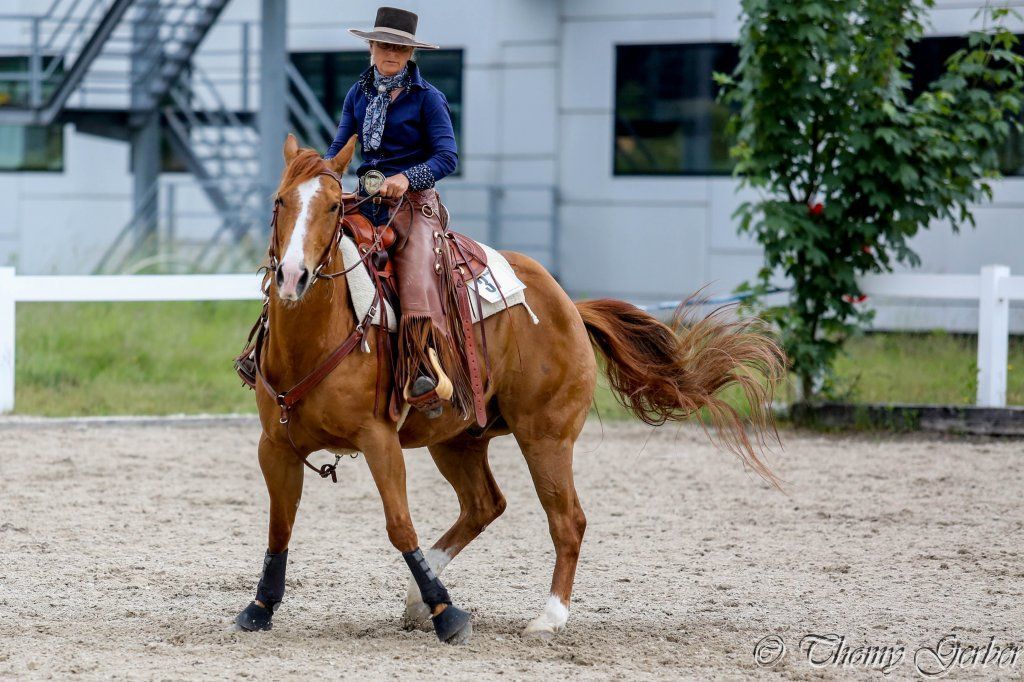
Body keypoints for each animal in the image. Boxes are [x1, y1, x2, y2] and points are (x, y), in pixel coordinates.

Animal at [234, 133, 786, 644]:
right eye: (280, 201)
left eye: (332, 205)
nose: (293, 276)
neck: (315, 338)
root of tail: (569, 305)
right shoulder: (273, 445)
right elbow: (280, 524)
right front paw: (261, 607)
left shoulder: (379, 440)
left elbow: (399, 525)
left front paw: (448, 615)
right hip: (459, 439)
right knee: (484, 505)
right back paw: (417, 600)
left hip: (545, 437)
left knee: (568, 520)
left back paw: (548, 617)